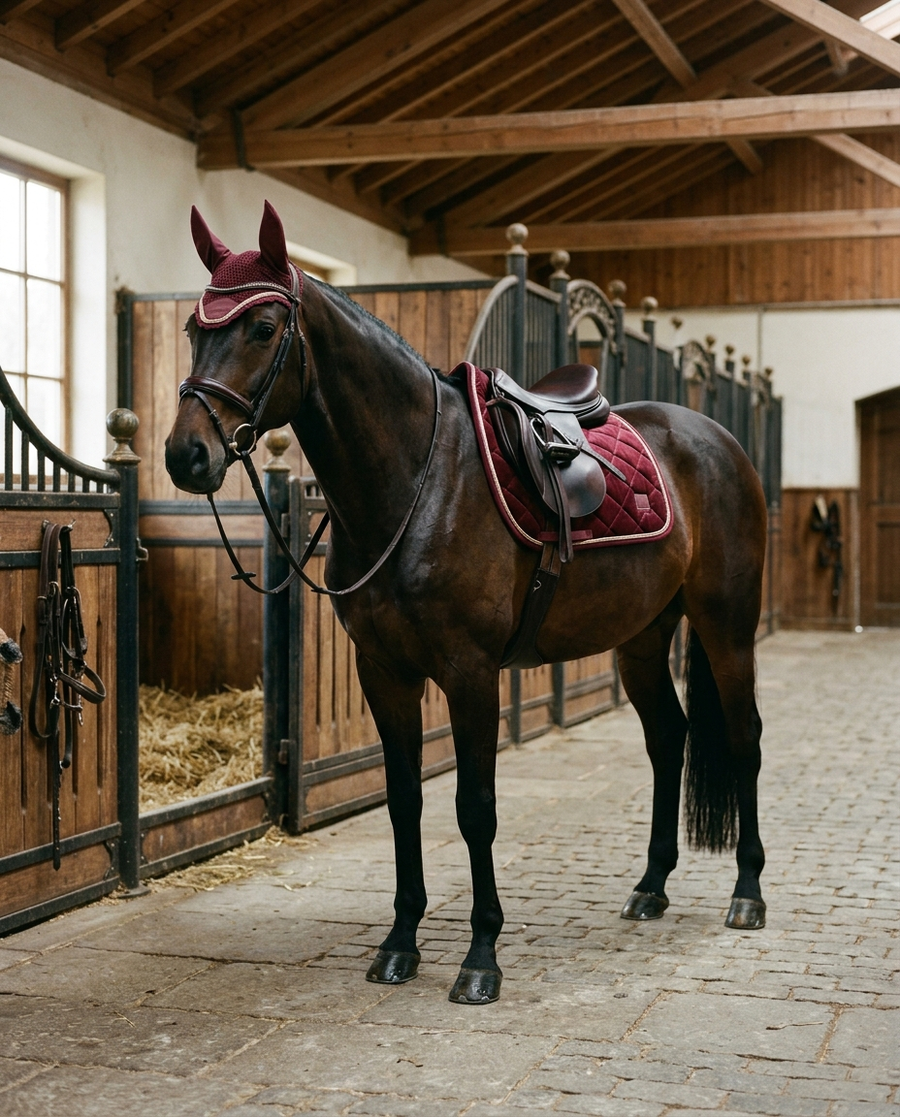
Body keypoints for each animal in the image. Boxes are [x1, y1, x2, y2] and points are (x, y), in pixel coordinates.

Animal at [165, 201, 768, 1005]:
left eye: (263, 327)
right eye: (195, 329)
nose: (186, 454)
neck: (418, 482)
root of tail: (716, 438)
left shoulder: (470, 672)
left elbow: (474, 808)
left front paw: (481, 957)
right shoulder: (384, 671)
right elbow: (404, 800)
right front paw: (399, 943)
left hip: (727, 626)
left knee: (743, 738)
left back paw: (748, 892)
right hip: (642, 637)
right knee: (667, 739)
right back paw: (650, 886)